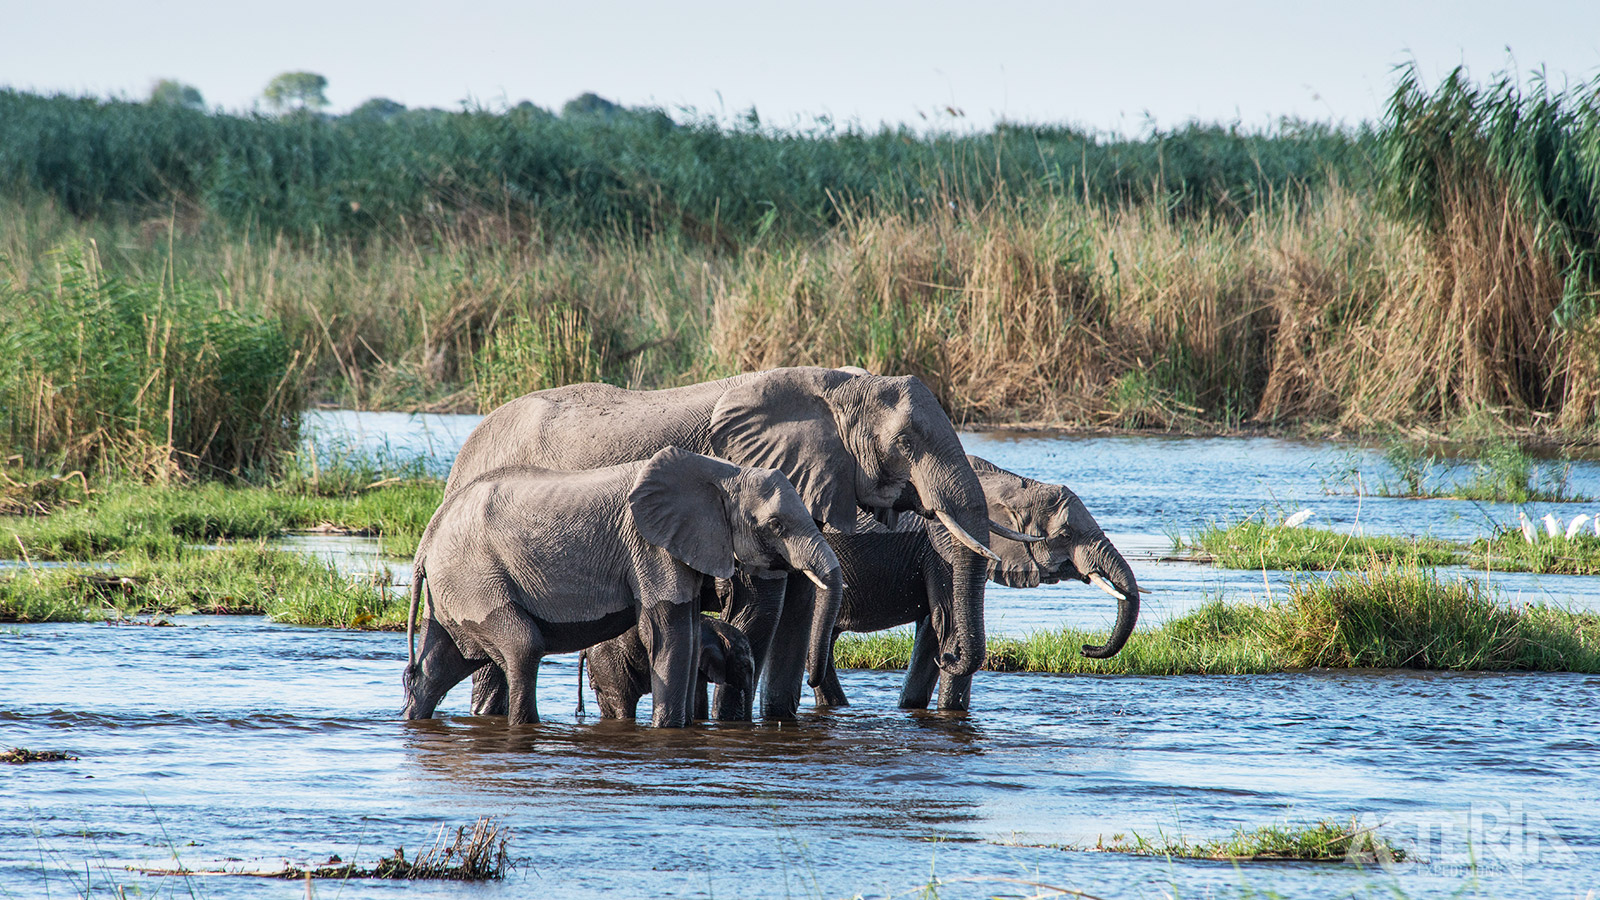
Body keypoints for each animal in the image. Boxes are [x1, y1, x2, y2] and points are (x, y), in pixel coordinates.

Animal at [400, 445, 844, 723]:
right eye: (776, 525)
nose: (812, 680)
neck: (722, 471)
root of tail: (428, 538)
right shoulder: (650, 545)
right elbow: (669, 633)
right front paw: (668, 730)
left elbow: (688, 631)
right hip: (474, 575)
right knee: (523, 647)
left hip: (456, 588)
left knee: (441, 664)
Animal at [812, 454, 1139, 707]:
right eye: (1067, 534)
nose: (1085, 648)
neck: (1010, 483)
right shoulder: (942, 547)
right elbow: (950, 625)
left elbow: (932, 632)